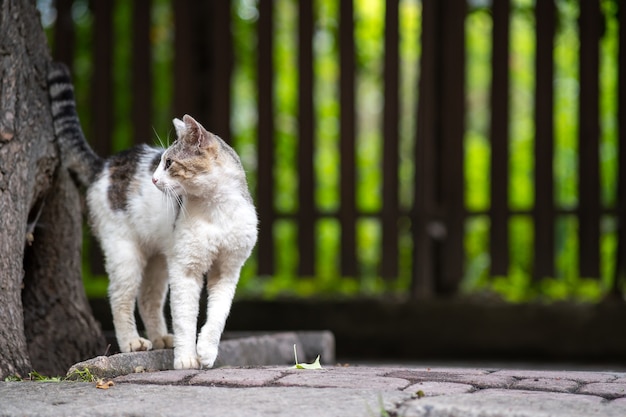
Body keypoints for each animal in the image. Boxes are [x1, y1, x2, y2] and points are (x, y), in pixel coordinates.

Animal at [45, 61, 256, 368]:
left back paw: (161, 338)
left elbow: (217, 316)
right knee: (120, 298)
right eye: (160, 162)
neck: (216, 209)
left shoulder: (228, 270)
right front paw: (185, 358)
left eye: (168, 163)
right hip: (125, 253)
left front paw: (206, 351)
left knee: (148, 299)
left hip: (159, 259)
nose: (154, 179)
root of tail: (104, 164)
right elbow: (185, 318)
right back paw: (132, 342)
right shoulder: (185, 270)